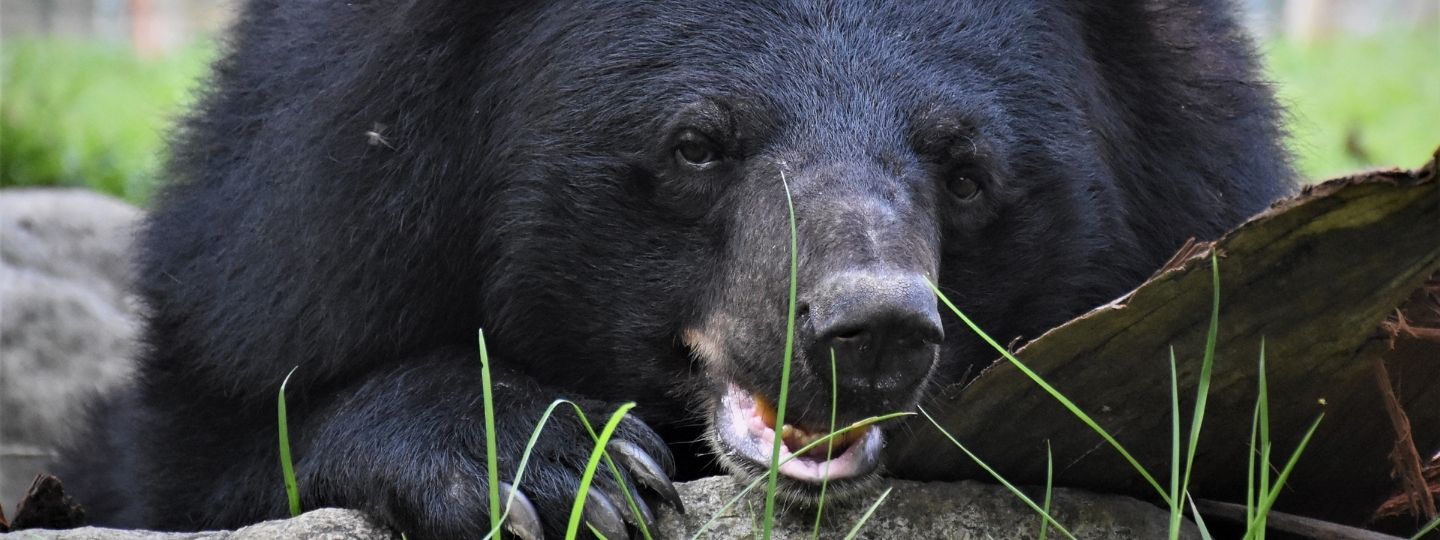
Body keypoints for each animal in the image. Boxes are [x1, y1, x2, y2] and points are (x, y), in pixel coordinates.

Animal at [55, 1, 1293, 539]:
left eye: (965, 166)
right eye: (698, 143)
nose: (872, 334)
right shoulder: (288, 224)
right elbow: (213, 442)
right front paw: (560, 468)